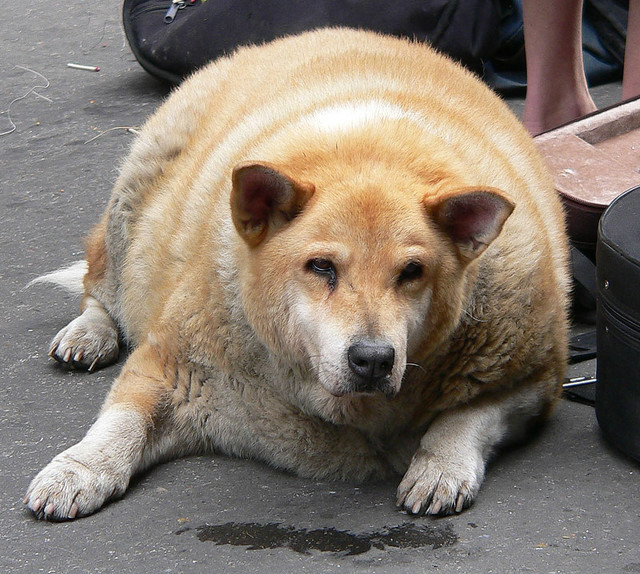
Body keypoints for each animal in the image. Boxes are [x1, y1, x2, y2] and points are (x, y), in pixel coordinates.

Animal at [26, 28, 568, 520]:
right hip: (135, 194)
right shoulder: (171, 364)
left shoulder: (535, 380)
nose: (373, 360)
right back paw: (90, 331)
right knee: (98, 283)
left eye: (412, 271)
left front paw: (441, 466)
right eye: (321, 267)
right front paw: (80, 470)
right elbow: (122, 420)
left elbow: (468, 418)